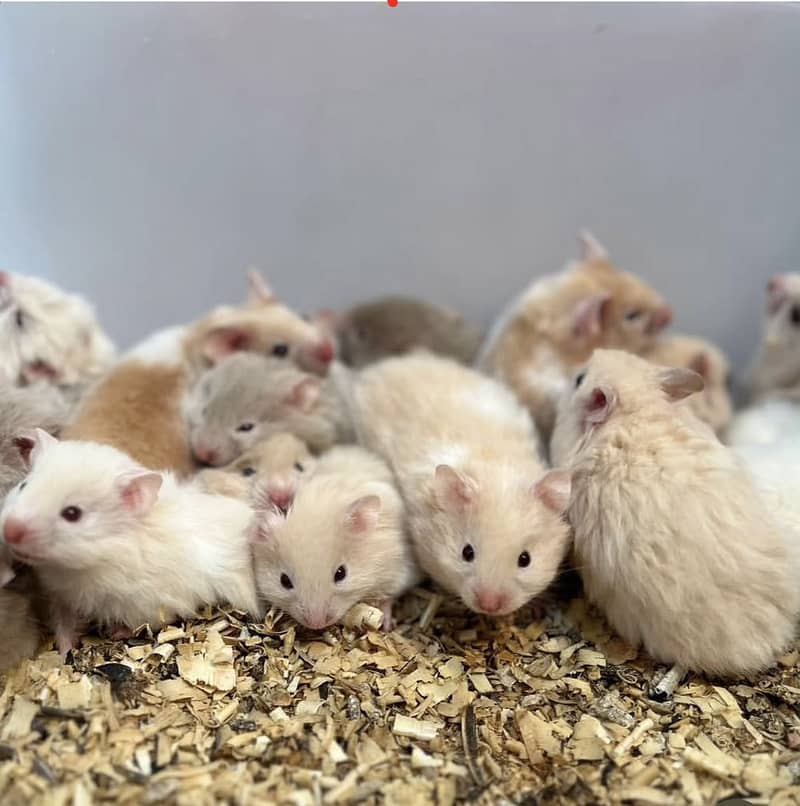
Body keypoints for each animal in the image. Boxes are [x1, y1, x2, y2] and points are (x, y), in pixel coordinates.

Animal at [0, 430, 260, 653]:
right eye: (23, 486)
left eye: (72, 513)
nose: (10, 531)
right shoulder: (62, 596)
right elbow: (64, 623)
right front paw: (65, 650)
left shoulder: (153, 604)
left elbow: (141, 624)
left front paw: (114, 633)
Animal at [252, 446, 419, 630]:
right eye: (284, 581)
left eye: (341, 573)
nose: (317, 624)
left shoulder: (401, 569)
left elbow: (389, 596)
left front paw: (386, 625)